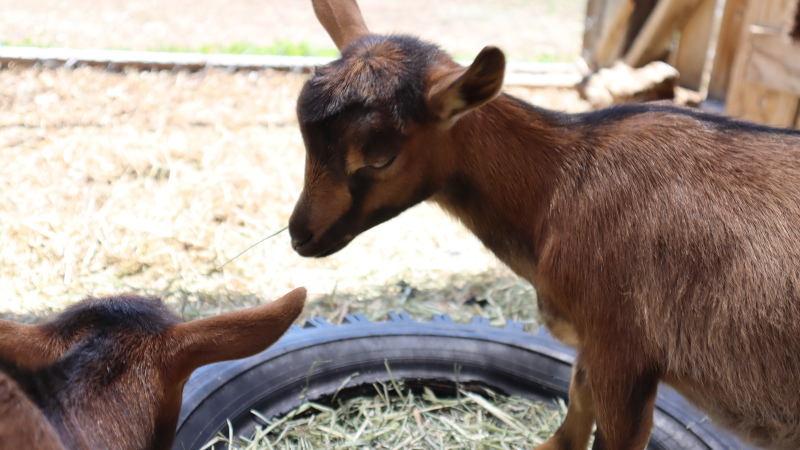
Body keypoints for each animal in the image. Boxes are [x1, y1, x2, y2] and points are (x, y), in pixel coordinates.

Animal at [290, 1, 800, 448]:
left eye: (380, 157)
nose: (300, 235)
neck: (558, 188)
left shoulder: (622, 350)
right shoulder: (590, 347)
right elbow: (571, 421)